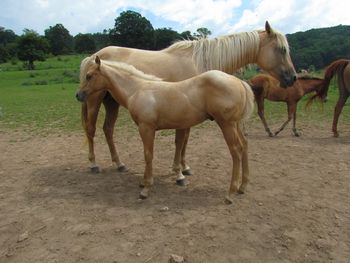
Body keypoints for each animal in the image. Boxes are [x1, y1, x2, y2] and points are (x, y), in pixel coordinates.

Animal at [76, 56, 254, 204]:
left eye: (89, 76)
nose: (78, 95)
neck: (138, 89)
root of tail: (239, 82)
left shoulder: (146, 128)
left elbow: (148, 155)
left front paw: (146, 189)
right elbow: (149, 155)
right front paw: (143, 182)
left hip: (227, 124)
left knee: (236, 150)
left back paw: (230, 194)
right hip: (235, 124)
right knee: (244, 145)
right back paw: (242, 187)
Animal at [80, 21, 296, 174]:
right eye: (282, 49)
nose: (293, 77)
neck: (200, 62)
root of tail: (92, 57)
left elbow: (184, 141)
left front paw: (183, 167)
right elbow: (180, 140)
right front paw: (178, 169)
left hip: (111, 102)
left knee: (108, 129)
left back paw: (119, 163)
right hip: (94, 100)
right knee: (91, 129)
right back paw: (93, 164)